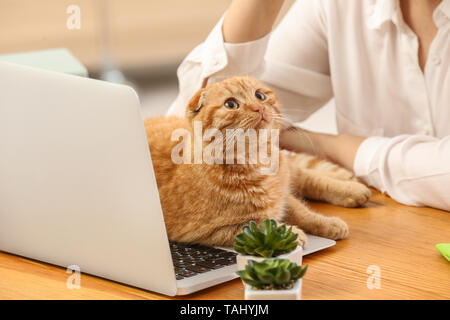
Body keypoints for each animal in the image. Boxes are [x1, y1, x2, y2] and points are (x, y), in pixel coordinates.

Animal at [146, 76, 370, 246]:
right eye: (231, 104)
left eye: (260, 95)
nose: (259, 108)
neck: (255, 162)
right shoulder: (212, 231)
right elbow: (255, 226)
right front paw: (291, 234)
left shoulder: (282, 196)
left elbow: (303, 211)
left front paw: (328, 223)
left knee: (309, 178)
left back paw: (352, 189)